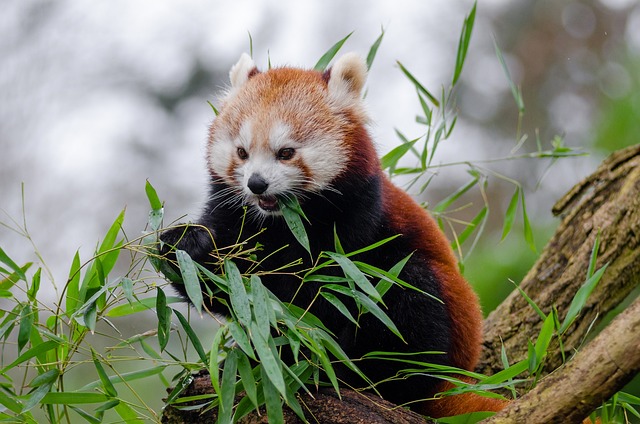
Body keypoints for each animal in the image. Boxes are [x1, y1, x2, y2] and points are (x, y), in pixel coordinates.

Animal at [162, 52, 508, 418]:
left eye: (286, 152)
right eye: (242, 152)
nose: (256, 183)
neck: (283, 222)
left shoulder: (356, 222)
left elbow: (324, 294)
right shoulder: (233, 213)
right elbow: (227, 288)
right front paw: (185, 246)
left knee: (410, 293)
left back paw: (352, 373)